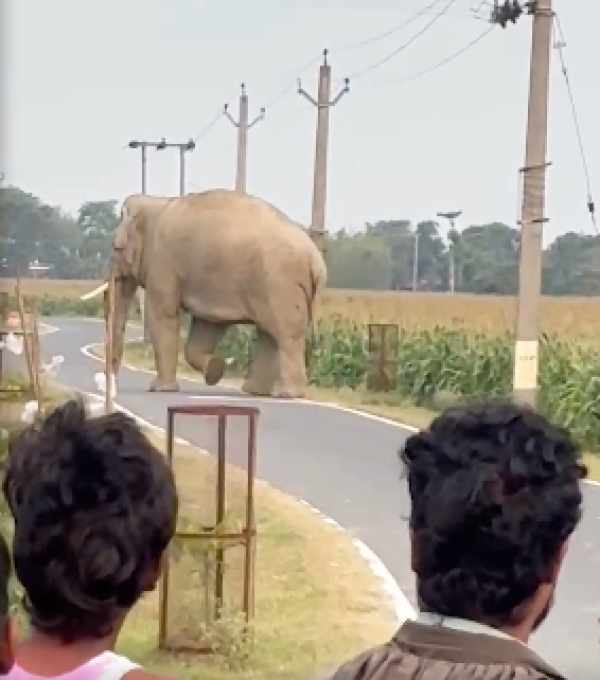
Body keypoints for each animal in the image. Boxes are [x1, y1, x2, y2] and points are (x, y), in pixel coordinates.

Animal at [84, 189, 327, 398]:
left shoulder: (162, 262)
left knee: (285, 335)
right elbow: (207, 326)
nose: (107, 384)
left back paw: (285, 394)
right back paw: (256, 392)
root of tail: (316, 261)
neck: (156, 203)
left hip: (279, 285)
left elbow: (162, 315)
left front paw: (160, 389)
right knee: (269, 334)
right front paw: (215, 370)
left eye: (115, 247)